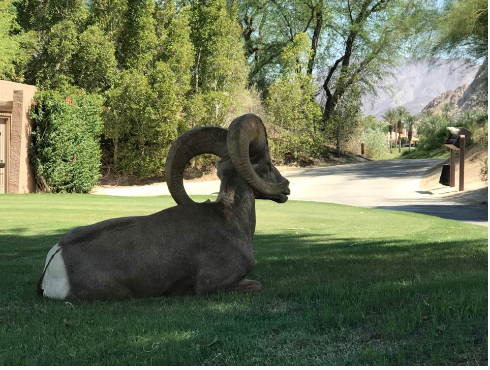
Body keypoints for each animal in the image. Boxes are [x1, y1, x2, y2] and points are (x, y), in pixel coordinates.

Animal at [40, 114, 290, 300]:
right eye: (267, 164)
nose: (286, 188)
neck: (230, 219)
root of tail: (55, 262)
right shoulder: (214, 285)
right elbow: (256, 284)